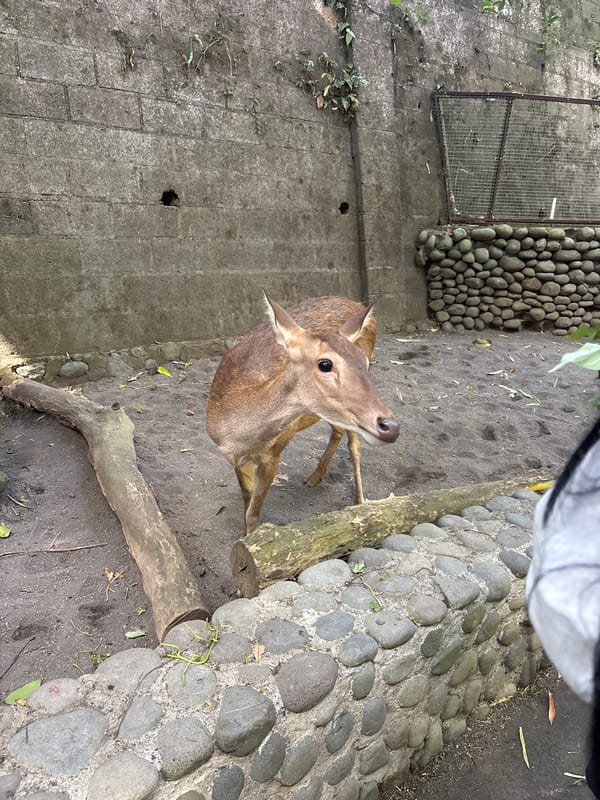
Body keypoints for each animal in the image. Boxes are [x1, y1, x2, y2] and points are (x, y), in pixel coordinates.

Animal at [206, 294, 400, 535]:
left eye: (364, 363)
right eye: (325, 364)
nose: (391, 426)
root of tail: (356, 304)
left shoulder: (275, 453)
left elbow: (253, 514)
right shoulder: (234, 458)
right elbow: (246, 502)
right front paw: (243, 536)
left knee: (354, 447)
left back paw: (360, 500)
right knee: (337, 430)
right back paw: (315, 477)